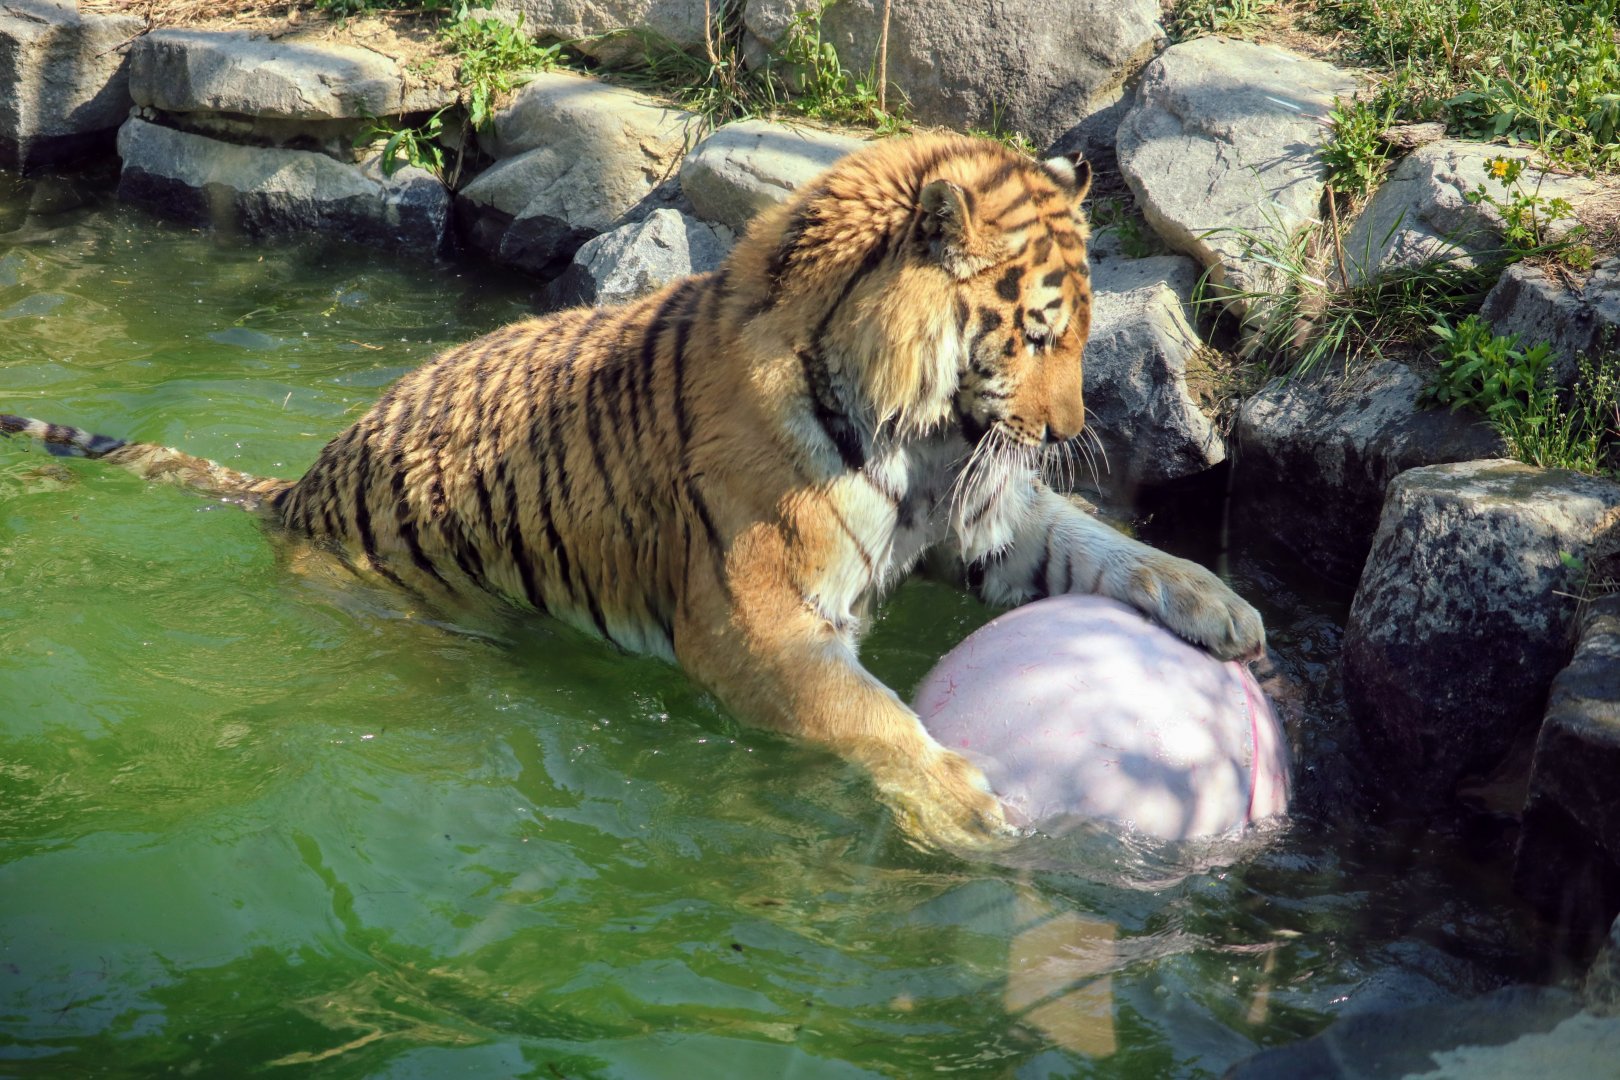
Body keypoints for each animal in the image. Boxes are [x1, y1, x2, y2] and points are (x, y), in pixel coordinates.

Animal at [2, 133, 1264, 849]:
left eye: (1085, 332)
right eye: (1041, 332)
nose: (1067, 430)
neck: (925, 439)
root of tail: (294, 490)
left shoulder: (981, 516)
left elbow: (1098, 547)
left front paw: (1224, 607)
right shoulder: (759, 625)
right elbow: (874, 719)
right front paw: (965, 808)